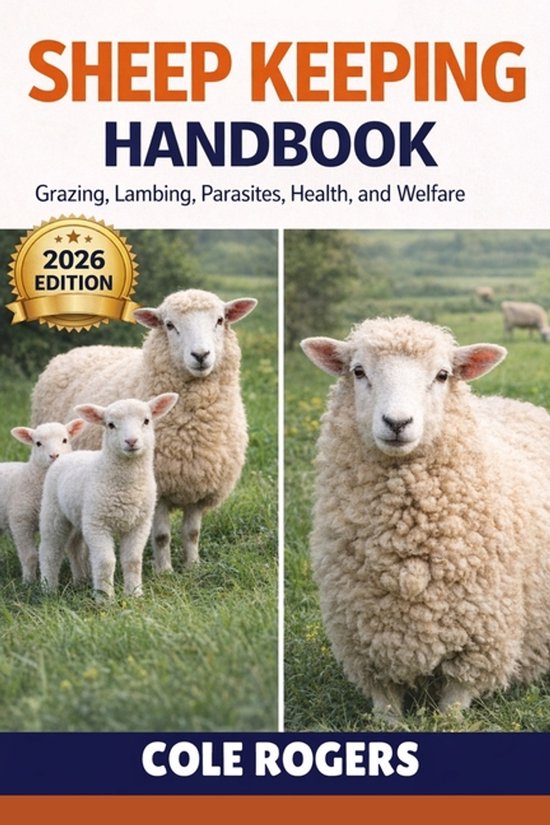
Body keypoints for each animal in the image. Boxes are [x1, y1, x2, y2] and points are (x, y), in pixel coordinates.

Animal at [0, 419, 86, 582]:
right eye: (38, 443)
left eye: (65, 440)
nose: (54, 455)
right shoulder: (21, 521)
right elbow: (29, 556)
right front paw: (28, 582)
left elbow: (75, 552)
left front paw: (80, 581)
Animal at [31, 288, 257, 571]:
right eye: (169, 325)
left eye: (220, 320)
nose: (201, 355)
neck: (193, 428)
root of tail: (76, 350)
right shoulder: (157, 488)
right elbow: (161, 536)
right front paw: (165, 571)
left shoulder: (199, 483)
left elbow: (192, 533)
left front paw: (193, 566)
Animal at [39, 393, 178, 599]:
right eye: (110, 425)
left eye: (146, 421)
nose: (131, 441)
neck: (127, 488)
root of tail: (65, 456)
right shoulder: (98, 524)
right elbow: (105, 562)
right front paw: (105, 598)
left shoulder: (139, 524)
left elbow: (133, 560)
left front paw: (134, 594)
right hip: (53, 512)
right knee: (50, 550)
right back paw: (48, 588)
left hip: (78, 516)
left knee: (74, 547)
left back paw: (80, 580)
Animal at [300, 315, 550, 719]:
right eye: (358, 371)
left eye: (443, 374)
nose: (397, 422)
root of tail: (516, 403)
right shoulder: (368, 643)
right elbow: (386, 709)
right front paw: (388, 723)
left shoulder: (478, 640)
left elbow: (453, 708)